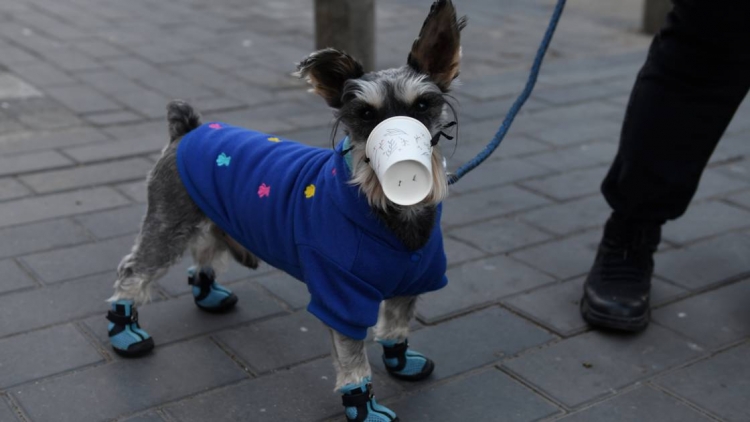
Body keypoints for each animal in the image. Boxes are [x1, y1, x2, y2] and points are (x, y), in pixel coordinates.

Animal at [107, 1, 464, 420]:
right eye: (364, 115)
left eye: (423, 105)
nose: (404, 171)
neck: (394, 221)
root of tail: (187, 130)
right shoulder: (340, 297)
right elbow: (353, 361)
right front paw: (364, 407)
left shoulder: (411, 283)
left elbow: (395, 327)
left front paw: (401, 361)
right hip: (168, 222)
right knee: (133, 271)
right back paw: (125, 332)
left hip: (207, 214)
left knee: (205, 249)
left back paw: (208, 294)